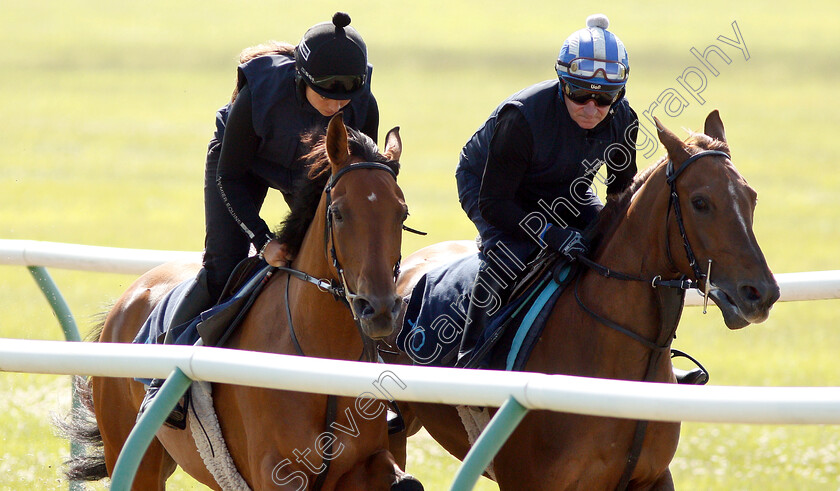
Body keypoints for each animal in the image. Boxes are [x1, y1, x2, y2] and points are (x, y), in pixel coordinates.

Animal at [65, 113, 424, 490]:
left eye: (401, 214)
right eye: (338, 213)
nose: (379, 310)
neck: (321, 365)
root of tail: (127, 299)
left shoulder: (365, 462)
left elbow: (406, 481)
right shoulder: (277, 471)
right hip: (134, 454)